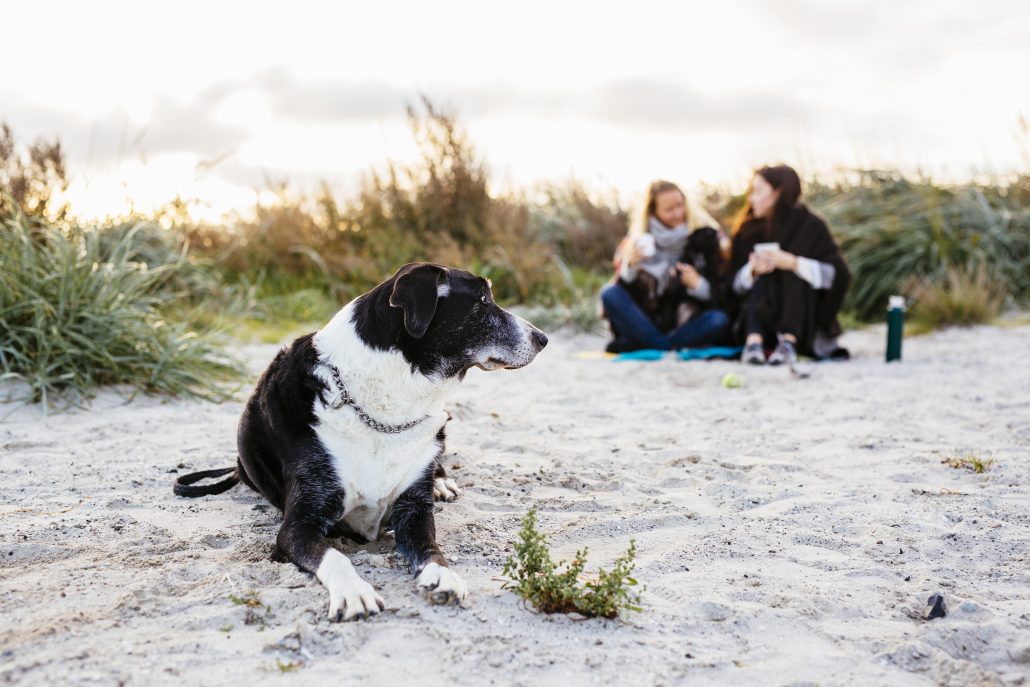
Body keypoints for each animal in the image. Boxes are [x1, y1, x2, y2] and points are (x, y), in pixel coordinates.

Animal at [175, 263, 547, 622]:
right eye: (483, 301)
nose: (543, 338)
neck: (385, 406)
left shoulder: (414, 509)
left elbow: (431, 546)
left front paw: (442, 575)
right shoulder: (298, 524)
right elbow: (335, 555)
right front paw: (353, 593)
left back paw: (441, 482)